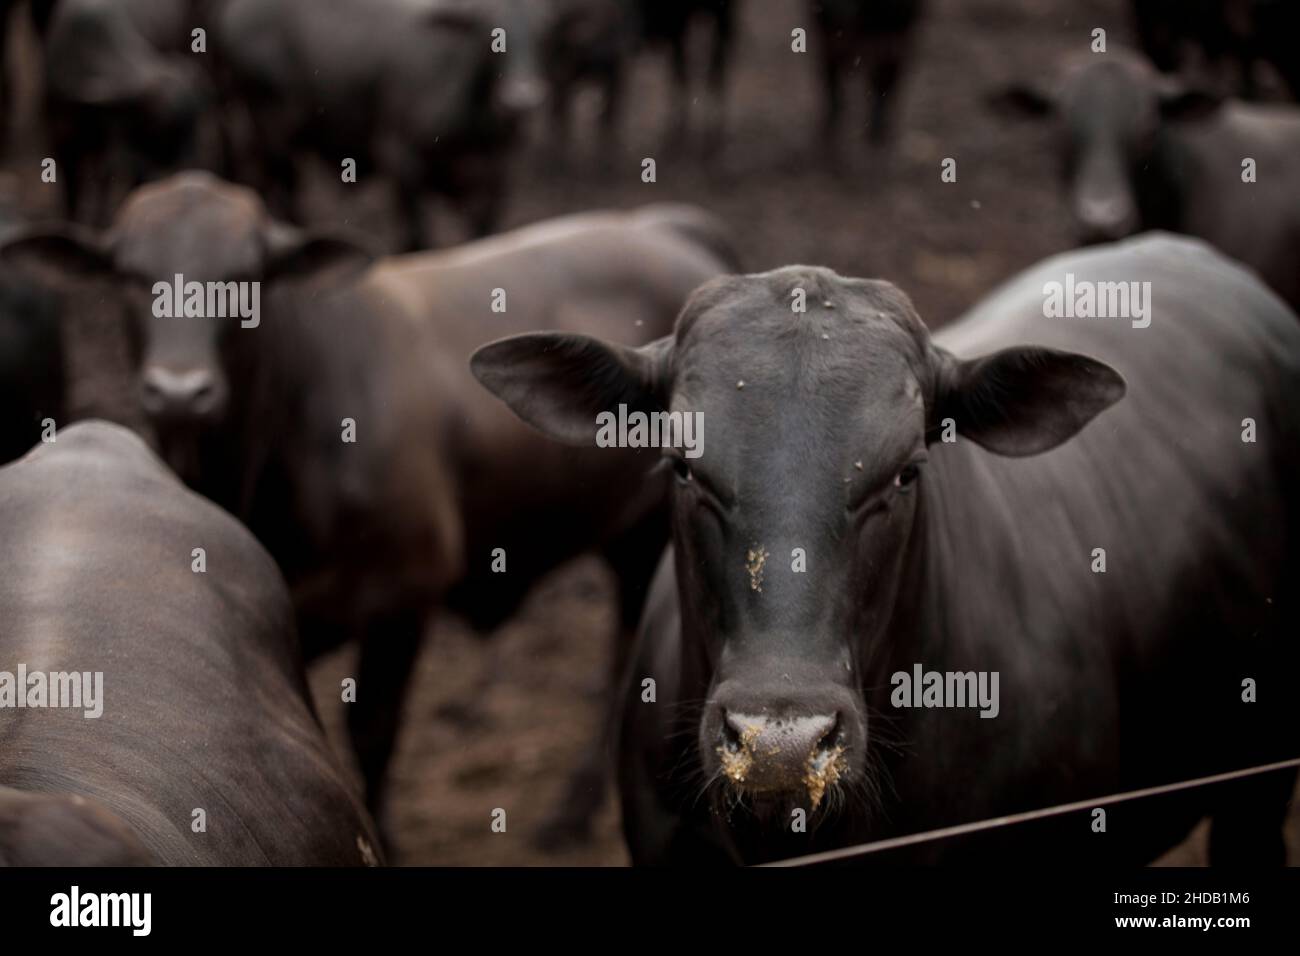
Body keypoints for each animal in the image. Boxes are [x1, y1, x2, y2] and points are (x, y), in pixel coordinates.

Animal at [42, 0, 213, 225]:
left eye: (196, 116)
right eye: (156, 116)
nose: (188, 166)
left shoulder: (113, 143)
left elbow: (106, 176)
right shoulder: (61, 136)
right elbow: (72, 184)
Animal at [217, 0, 549, 251]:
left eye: (541, 31)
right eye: (484, 32)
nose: (521, 100)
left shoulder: (497, 181)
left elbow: (483, 239)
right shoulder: (401, 160)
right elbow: (417, 236)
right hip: (273, 128)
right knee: (288, 191)